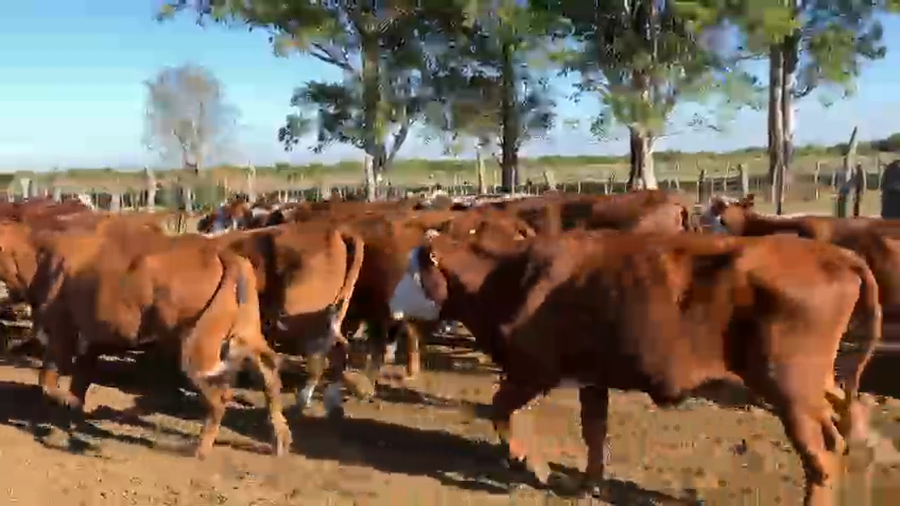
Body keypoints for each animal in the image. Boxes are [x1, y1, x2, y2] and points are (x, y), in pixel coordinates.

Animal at [388, 229, 880, 505]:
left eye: (411, 272)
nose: (391, 306)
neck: (505, 277)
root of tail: (832, 254)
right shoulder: (592, 376)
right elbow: (593, 432)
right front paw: (587, 485)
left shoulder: (534, 370)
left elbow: (500, 410)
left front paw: (533, 465)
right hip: (809, 385)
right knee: (836, 426)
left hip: (788, 389)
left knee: (821, 457)